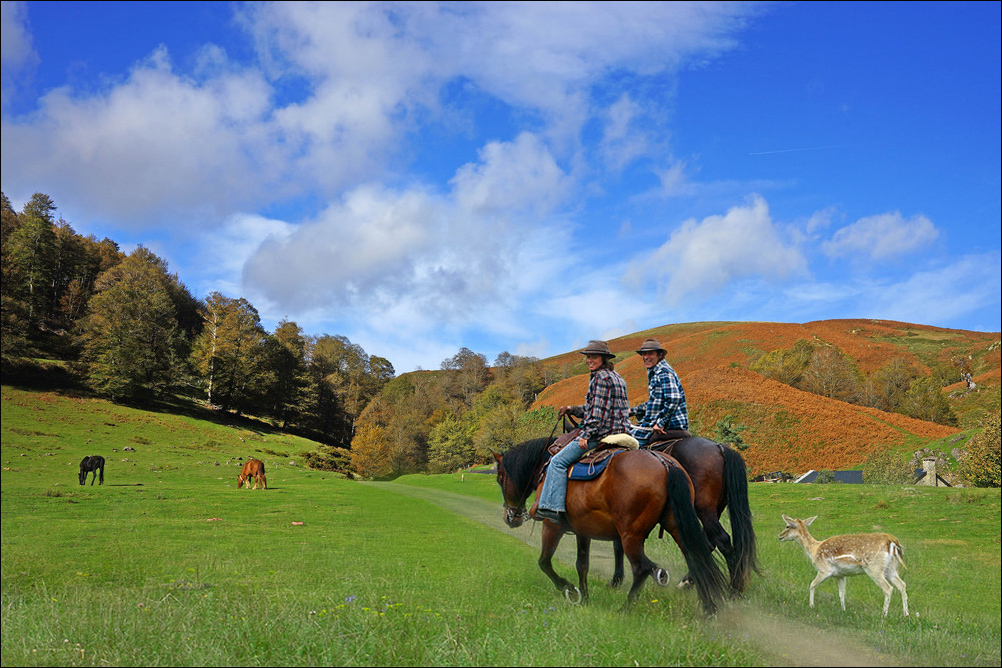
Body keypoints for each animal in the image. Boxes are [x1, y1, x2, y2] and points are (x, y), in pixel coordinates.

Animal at [494, 438, 725, 616]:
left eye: (499, 478)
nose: (510, 517)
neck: (547, 467)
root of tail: (664, 463)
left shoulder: (552, 526)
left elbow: (544, 562)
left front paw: (570, 590)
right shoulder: (583, 531)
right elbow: (582, 565)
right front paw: (585, 598)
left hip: (631, 534)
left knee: (641, 568)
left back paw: (625, 608)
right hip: (677, 527)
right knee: (697, 560)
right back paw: (709, 608)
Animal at [777, 516, 913, 616]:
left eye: (787, 526)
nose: (780, 536)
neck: (814, 550)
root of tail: (893, 542)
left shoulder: (824, 569)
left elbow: (812, 584)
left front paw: (811, 606)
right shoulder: (840, 575)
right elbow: (842, 593)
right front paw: (843, 610)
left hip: (874, 568)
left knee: (888, 588)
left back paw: (883, 614)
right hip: (891, 568)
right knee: (902, 584)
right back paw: (906, 614)